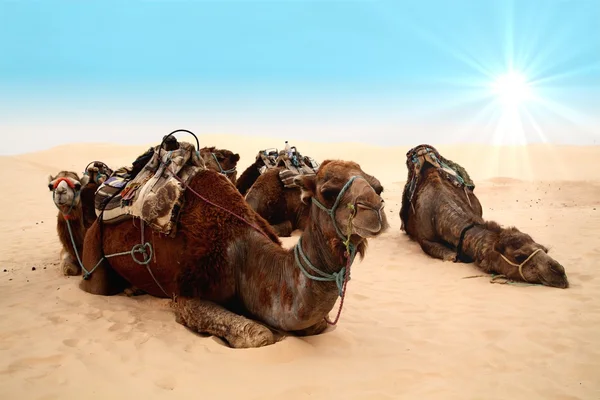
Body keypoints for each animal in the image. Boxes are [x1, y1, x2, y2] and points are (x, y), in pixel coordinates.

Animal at [79, 155, 390, 348]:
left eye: (378, 188)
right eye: (328, 191)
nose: (374, 210)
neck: (244, 257)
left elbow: (318, 324)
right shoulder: (187, 293)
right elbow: (259, 334)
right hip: (93, 246)